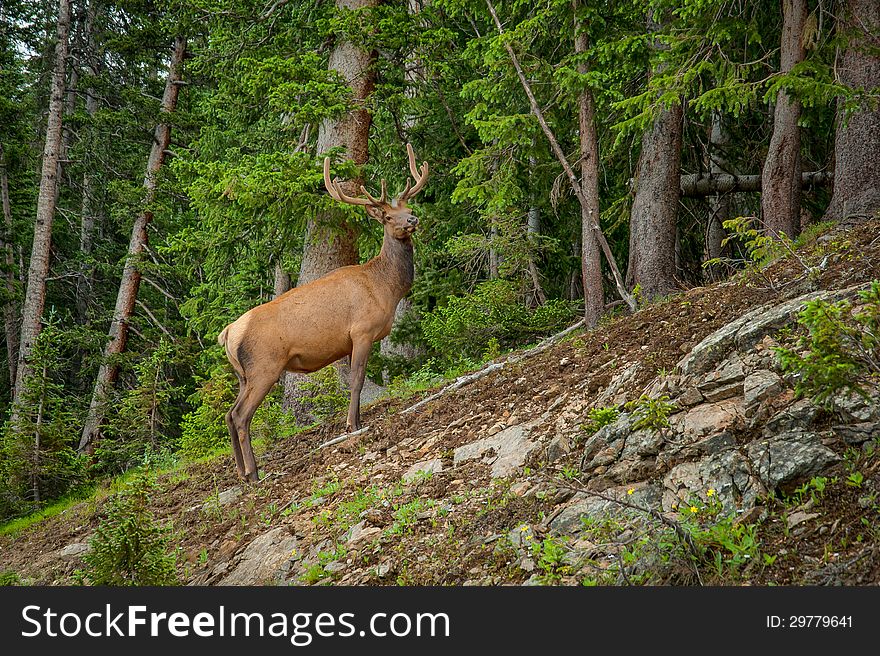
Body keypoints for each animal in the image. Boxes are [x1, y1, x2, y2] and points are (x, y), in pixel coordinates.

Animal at [217, 144, 430, 482]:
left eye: (407, 204)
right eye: (386, 215)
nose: (412, 218)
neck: (385, 287)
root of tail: (227, 334)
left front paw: (355, 421)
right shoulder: (362, 330)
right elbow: (357, 379)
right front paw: (352, 425)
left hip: (243, 374)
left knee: (227, 414)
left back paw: (241, 472)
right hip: (265, 366)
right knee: (240, 415)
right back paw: (254, 472)